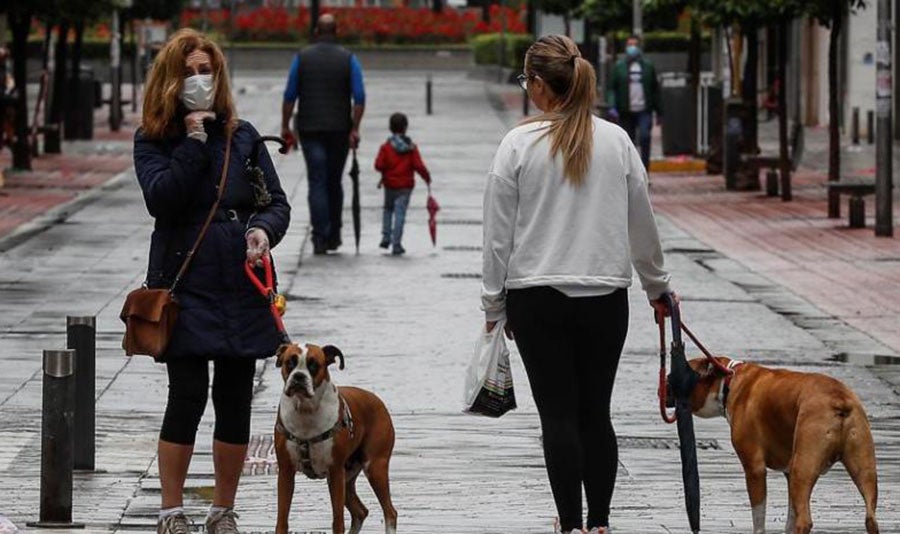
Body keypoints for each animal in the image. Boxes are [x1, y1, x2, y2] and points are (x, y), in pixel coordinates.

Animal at [274, 344, 398, 534]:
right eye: (290, 362)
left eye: (313, 364)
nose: (299, 376)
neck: (305, 410)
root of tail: (376, 399)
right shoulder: (286, 473)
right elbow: (282, 520)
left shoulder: (335, 472)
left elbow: (338, 521)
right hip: (348, 476)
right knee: (360, 511)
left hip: (375, 468)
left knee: (389, 512)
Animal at [684, 356, 880, 534]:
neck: (729, 379)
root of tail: (839, 398)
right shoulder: (788, 473)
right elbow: (790, 518)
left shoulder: (755, 469)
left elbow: (759, 519)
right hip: (863, 469)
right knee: (870, 518)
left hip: (803, 469)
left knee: (804, 521)